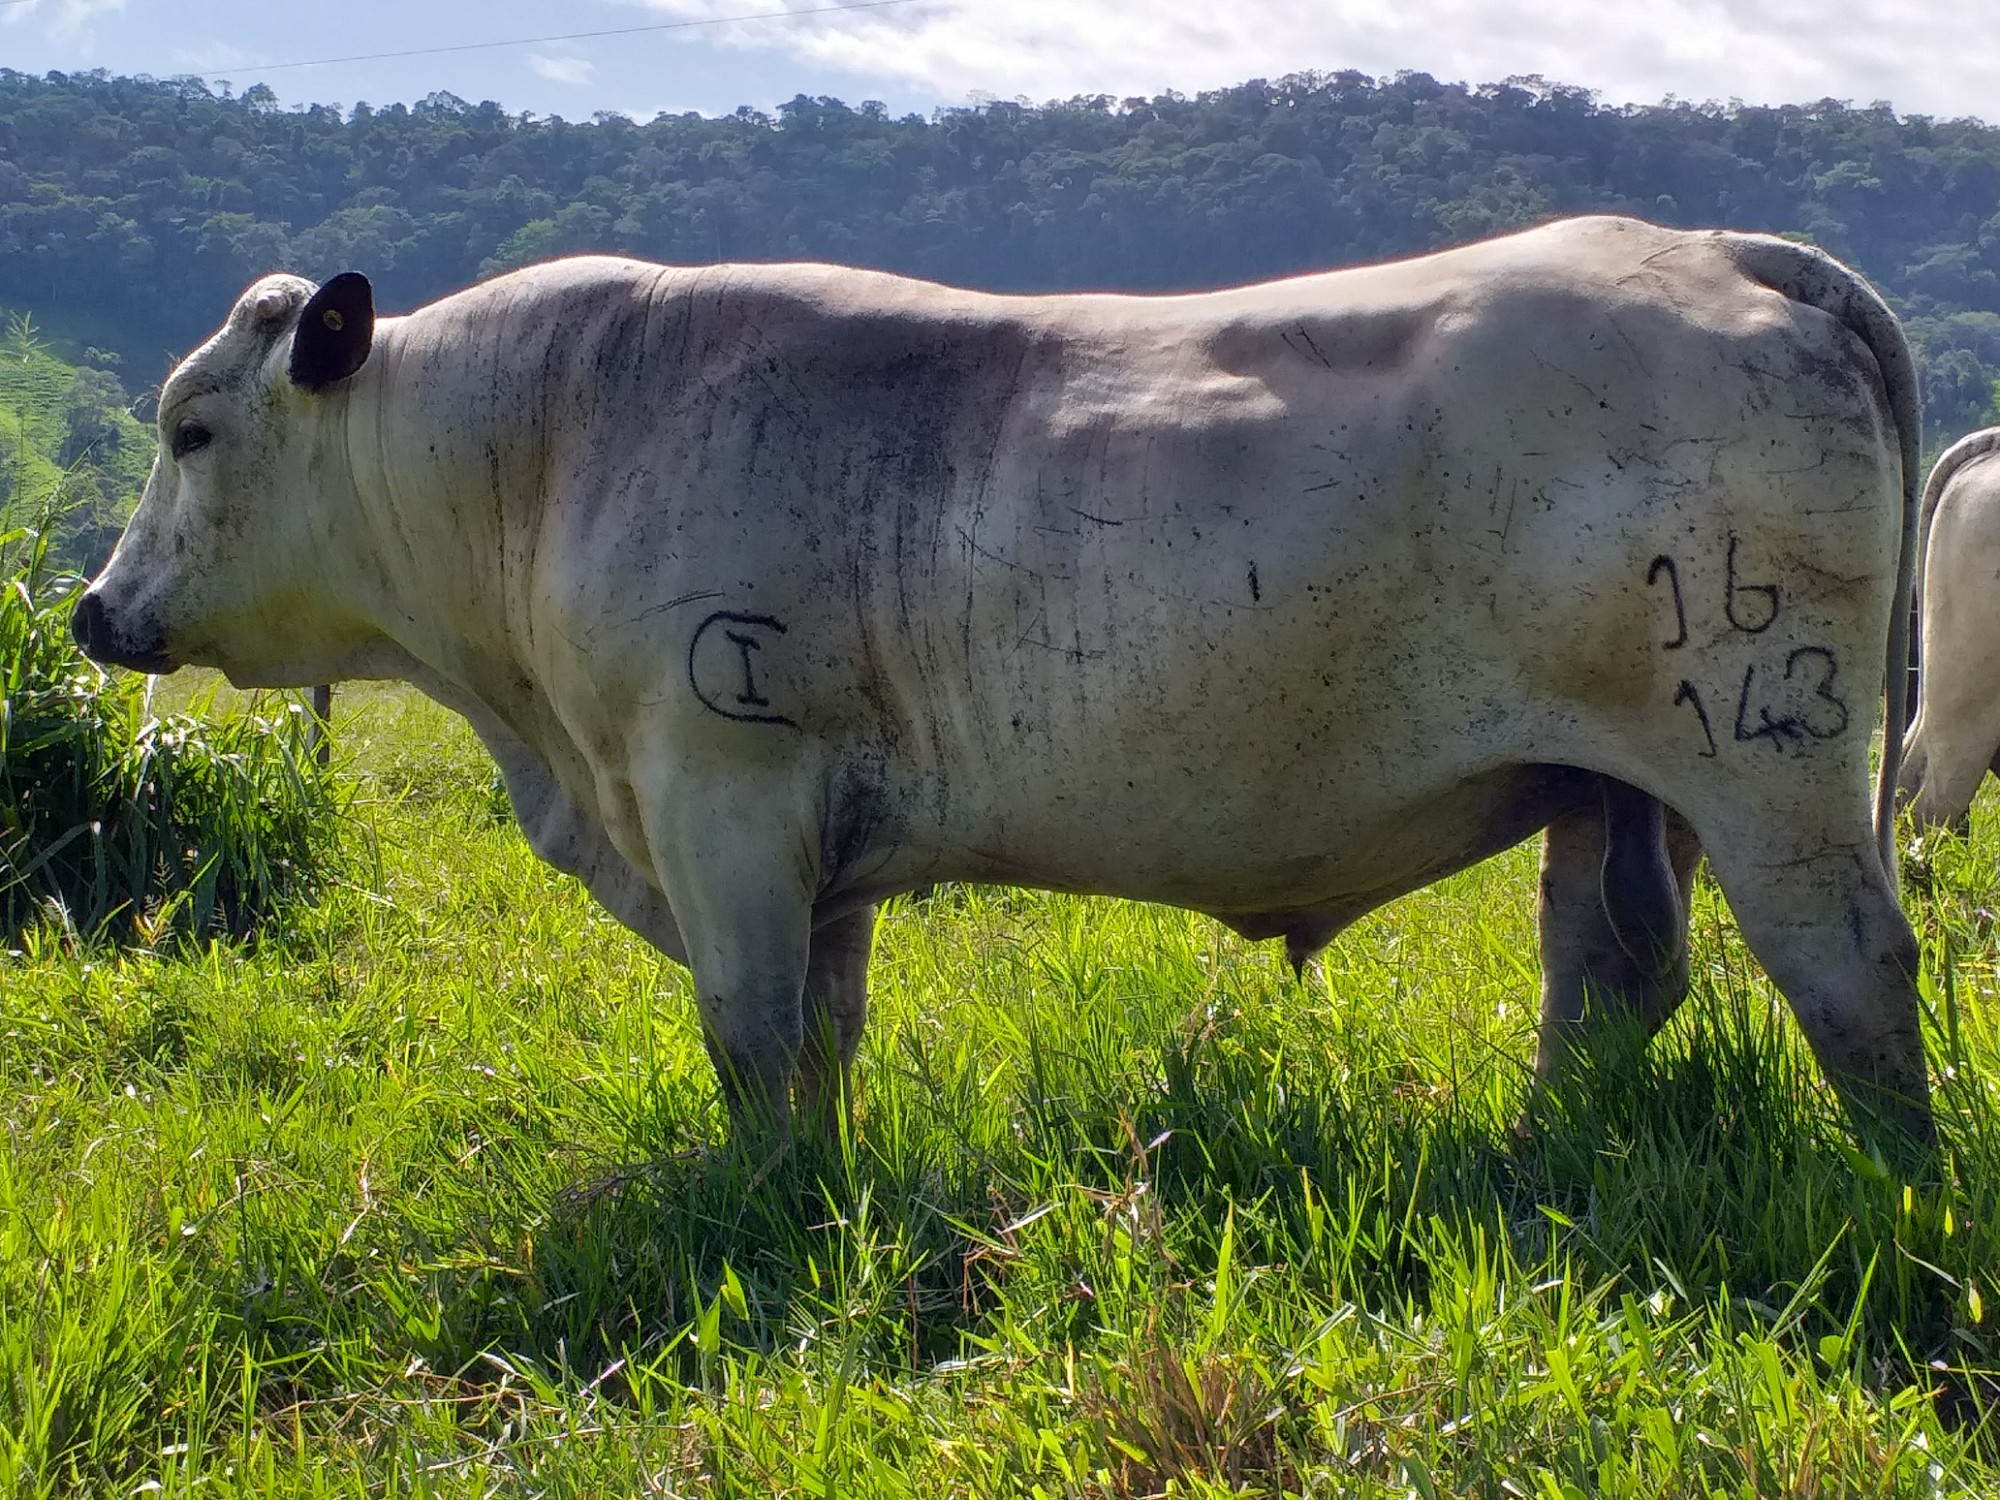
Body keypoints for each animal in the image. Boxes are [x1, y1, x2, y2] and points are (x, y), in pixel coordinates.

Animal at [78, 214, 1936, 1152]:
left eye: (191, 428)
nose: (95, 612)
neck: (549, 445)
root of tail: (1720, 248)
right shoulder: (809, 845)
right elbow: (817, 1037)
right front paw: (817, 1187)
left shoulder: (717, 793)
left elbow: (750, 1035)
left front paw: (763, 1207)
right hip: (1627, 789)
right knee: (1607, 973)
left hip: (1770, 763)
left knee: (1847, 969)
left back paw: (1897, 1190)